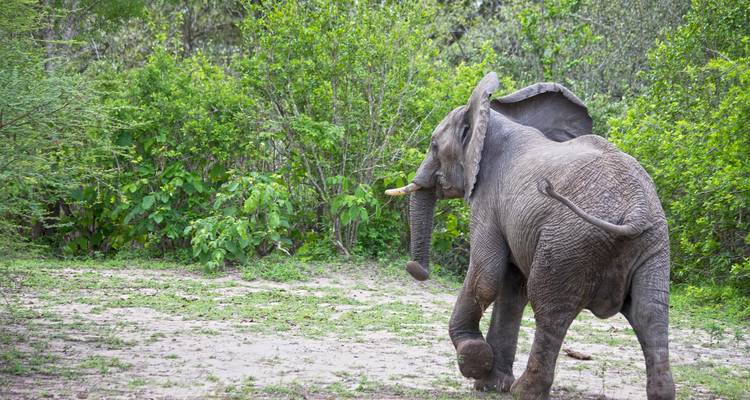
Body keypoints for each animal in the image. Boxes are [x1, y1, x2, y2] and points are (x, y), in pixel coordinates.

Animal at [385, 72, 675, 400]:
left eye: (434, 146)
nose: (417, 270)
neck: (491, 118)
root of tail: (636, 209)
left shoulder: (488, 200)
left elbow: (486, 276)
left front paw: (475, 360)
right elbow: (511, 290)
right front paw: (489, 385)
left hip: (570, 240)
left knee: (551, 310)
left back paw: (523, 390)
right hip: (653, 245)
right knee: (651, 314)